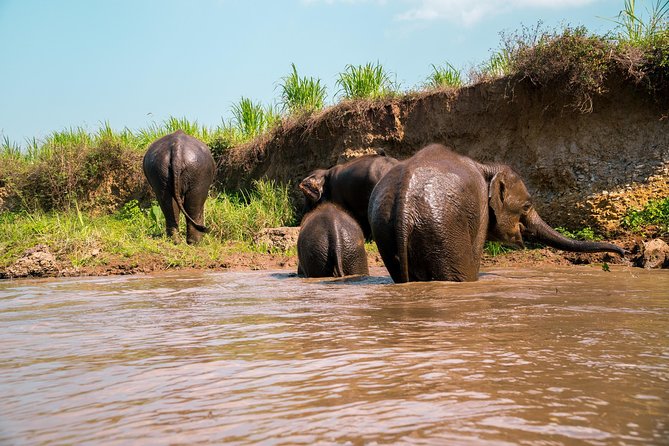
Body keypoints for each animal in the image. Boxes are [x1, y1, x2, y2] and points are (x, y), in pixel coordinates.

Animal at [368, 143, 624, 282]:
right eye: (527, 206)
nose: (623, 253)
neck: (485, 165)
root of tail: (404, 204)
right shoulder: (479, 209)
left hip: (385, 229)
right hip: (442, 229)